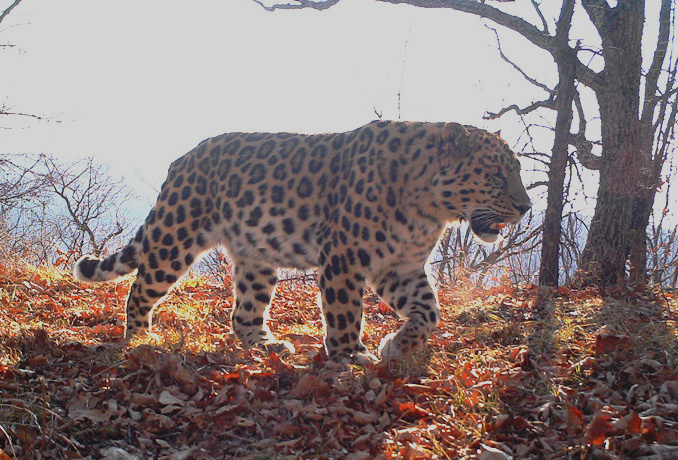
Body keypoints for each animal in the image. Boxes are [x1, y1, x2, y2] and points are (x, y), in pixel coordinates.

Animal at [73, 121, 532, 362]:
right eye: (496, 173)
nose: (526, 207)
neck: (429, 207)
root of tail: (182, 160)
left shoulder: (399, 267)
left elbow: (430, 311)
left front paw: (397, 346)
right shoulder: (345, 258)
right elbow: (345, 313)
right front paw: (350, 356)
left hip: (256, 256)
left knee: (243, 313)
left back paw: (267, 345)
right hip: (175, 236)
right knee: (139, 288)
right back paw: (139, 338)